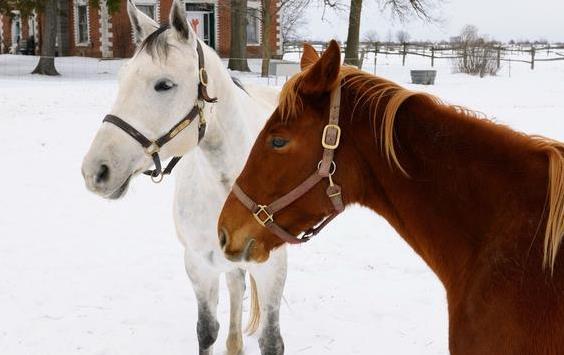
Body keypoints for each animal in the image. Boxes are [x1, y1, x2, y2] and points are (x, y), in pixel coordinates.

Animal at [80, 1, 288, 354]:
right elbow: (206, 331)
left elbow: (271, 342)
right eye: (122, 78)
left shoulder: (271, 267)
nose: (95, 170)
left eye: (164, 84)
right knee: (236, 286)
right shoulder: (199, 265)